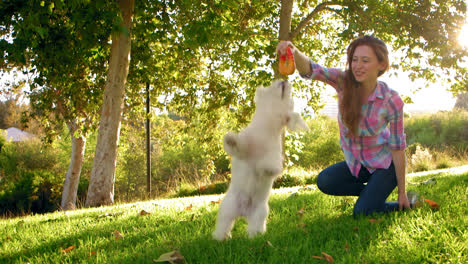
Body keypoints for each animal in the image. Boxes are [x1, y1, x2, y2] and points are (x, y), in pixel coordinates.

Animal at [212, 79, 308, 241]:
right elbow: (239, 145)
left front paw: (265, 168)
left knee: (254, 227)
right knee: (224, 225)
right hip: (227, 209)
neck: (266, 128)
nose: (284, 80)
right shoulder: (244, 148)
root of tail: (243, 211)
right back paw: (220, 238)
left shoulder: (274, 155)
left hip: (260, 212)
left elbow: (270, 165)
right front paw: (230, 139)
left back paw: (255, 236)